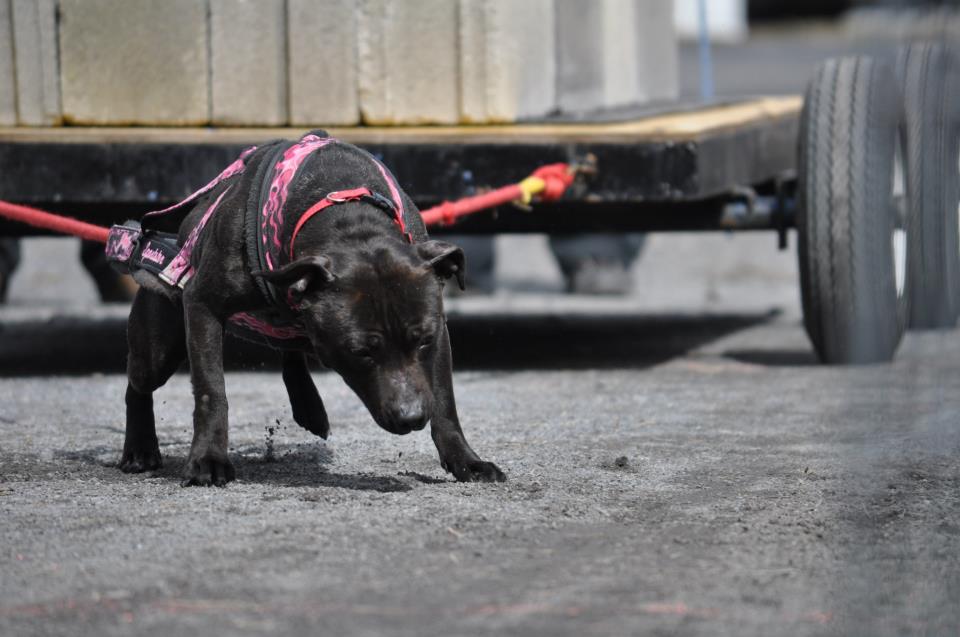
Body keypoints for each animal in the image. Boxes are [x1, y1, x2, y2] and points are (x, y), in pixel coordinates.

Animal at [116, 132, 506, 484]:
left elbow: (444, 398)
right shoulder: (202, 304)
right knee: (138, 384)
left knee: (291, 348)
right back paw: (139, 449)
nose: (410, 417)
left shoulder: (438, 330)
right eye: (361, 352)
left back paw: (310, 408)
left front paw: (466, 461)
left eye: (423, 341)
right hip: (159, 345)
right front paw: (209, 460)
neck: (345, 215)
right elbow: (212, 391)